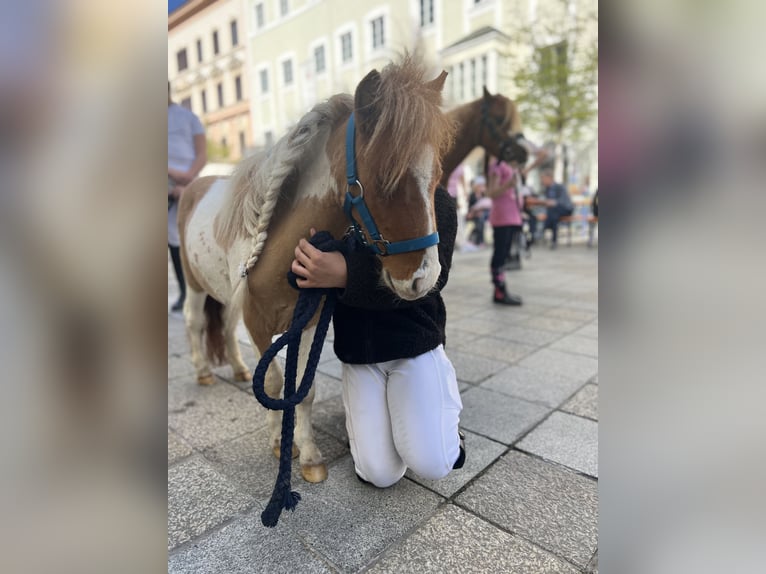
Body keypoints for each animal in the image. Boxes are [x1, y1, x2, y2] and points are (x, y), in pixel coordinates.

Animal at [176, 56, 455, 484]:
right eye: (383, 179)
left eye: (438, 174)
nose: (423, 278)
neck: (277, 253)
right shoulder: (257, 321)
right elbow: (274, 381)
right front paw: (279, 443)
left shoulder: (305, 320)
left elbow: (302, 389)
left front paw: (307, 456)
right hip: (192, 284)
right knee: (194, 323)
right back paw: (204, 372)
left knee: (222, 324)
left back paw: (237, 369)